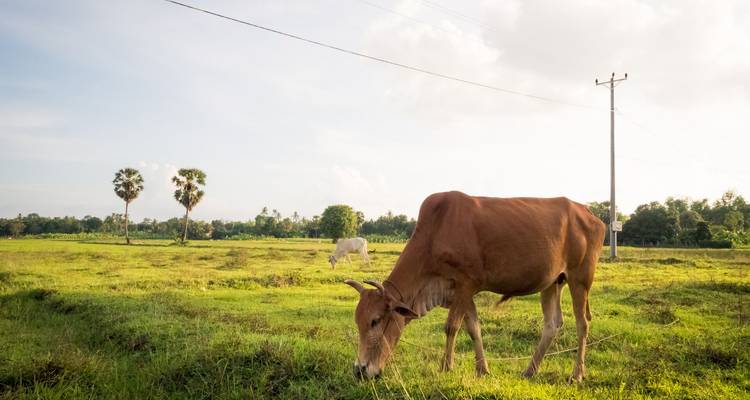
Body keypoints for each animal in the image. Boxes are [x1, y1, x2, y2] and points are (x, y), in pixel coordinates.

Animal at [344, 191, 606, 382]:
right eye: (358, 322)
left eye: (375, 321)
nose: (360, 370)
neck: (435, 232)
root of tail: (590, 214)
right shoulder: (463, 292)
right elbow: (473, 329)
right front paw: (482, 369)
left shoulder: (465, 283)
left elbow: (451, 327)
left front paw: (445, 367)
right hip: (552, 283)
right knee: (552, 324)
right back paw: (530, 370)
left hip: (580, 279)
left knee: (582, 324)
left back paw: (576, 374)